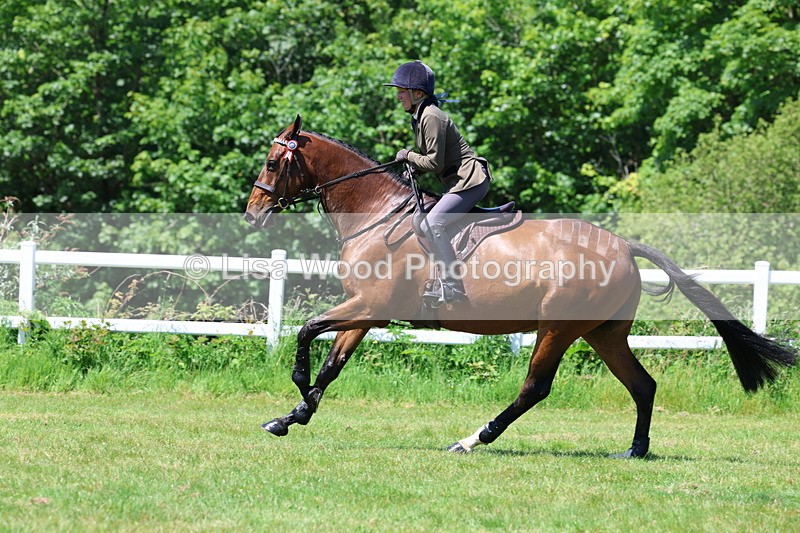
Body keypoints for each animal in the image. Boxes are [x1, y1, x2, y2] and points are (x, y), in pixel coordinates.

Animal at [244, 115, 797, 458]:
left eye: (272, 163)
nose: (252, 213)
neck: (377, 213)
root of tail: (622, 246)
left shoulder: (368, 304)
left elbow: (307, 331)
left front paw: (299, 390)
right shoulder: (366, 309)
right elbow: (333, 362)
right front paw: (293, 415)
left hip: (558, 327)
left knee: (536, 386)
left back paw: (473, 439)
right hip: (604, 332)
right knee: (642, 385)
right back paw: (636, 451)